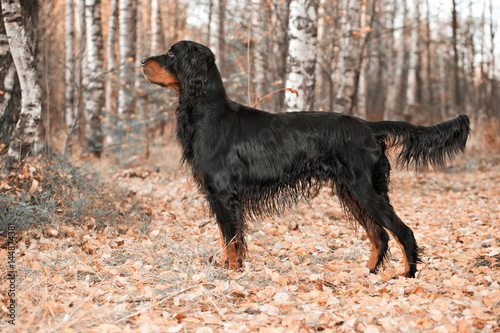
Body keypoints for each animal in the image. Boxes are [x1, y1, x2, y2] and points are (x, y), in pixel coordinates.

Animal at [143, 40, 470, 276]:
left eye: (171, 53)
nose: (142, 61)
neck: (210, 115)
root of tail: (368, 126)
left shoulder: (223, 195)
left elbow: (232, 241)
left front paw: (231, 274)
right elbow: (228, 241)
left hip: (366, 189)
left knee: (403, 231)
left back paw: (408, 276)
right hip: (351, 191)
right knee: (380, 235)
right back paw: (368, 272)